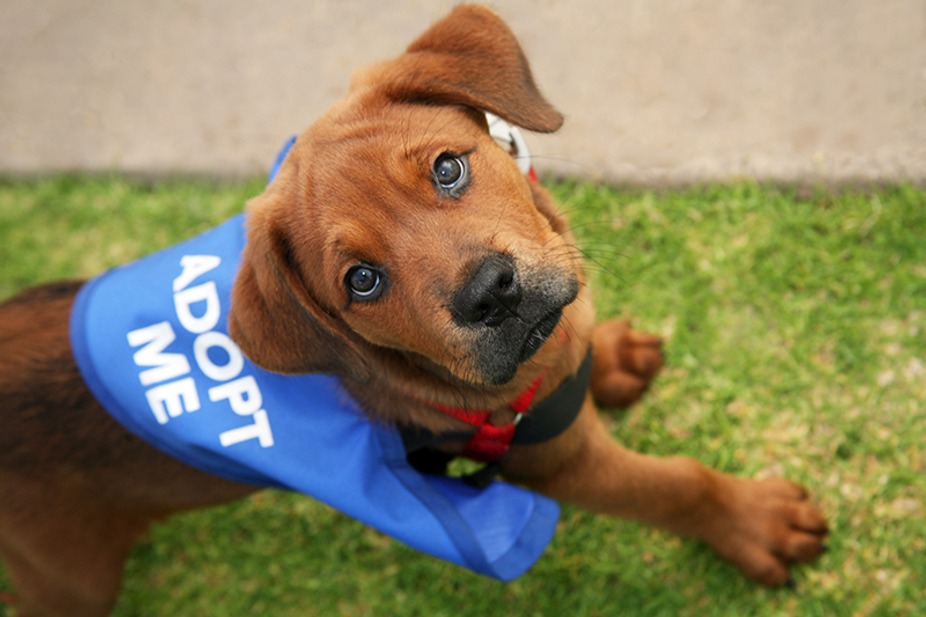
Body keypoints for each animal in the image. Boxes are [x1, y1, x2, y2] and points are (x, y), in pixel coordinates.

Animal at [0, 6, 832, 616]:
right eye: (363, 280)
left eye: (449, 167)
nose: (490, 291)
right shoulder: (559, 465)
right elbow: (675, 484)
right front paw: (754, 521)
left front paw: (614, 355)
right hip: (71, 579)